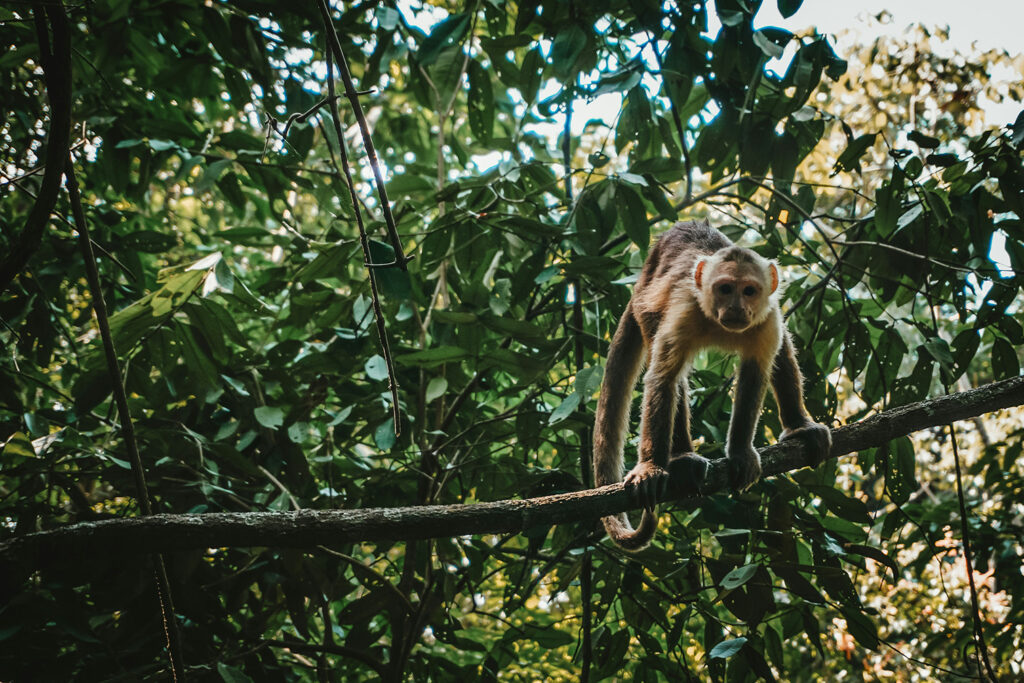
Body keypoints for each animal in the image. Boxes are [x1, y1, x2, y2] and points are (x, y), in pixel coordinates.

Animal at [593, 222, 831, 552]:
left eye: (748, 291)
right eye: (725, 289)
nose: (736, 308)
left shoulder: (766, 317)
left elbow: (756, 372)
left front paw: (741, 452)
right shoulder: (685, 310)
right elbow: (663, 378)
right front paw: (651, 467)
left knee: (782, 348)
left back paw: (799, 425)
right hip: (645, 307)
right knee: (671, 373)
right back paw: (682, 458)